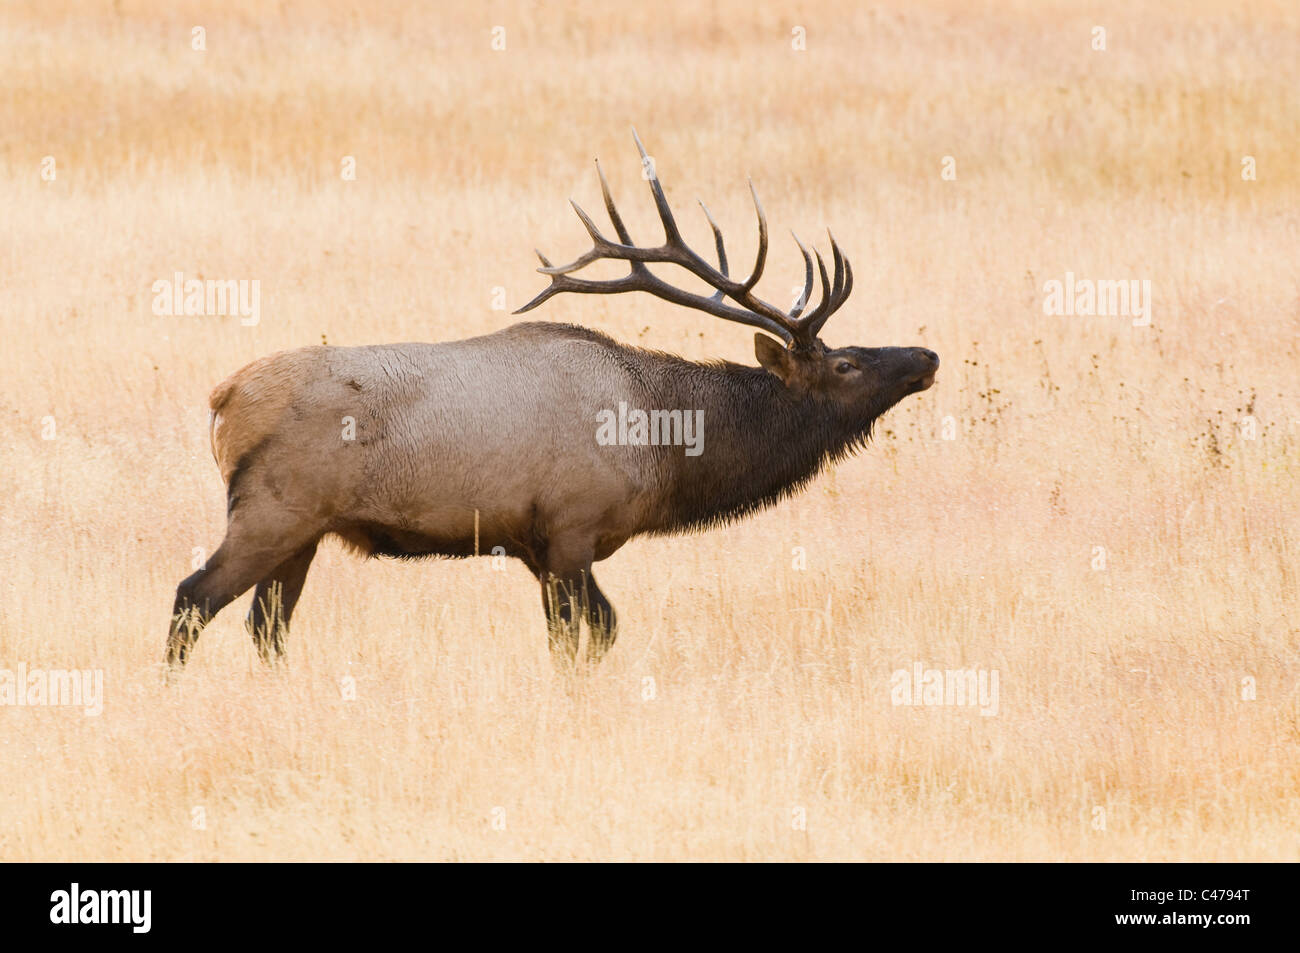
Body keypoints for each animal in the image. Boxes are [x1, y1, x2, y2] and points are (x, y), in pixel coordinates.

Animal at [167, 131, 941, 670]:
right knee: (192, 597)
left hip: (304, 530)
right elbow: (592, 634)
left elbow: (581, 636)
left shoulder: (538, 548)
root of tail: (223, 398)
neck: (662, 446)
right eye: (845, 362)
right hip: (271, 510)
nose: (926, 358)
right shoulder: (571, 530)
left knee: (267, 624)